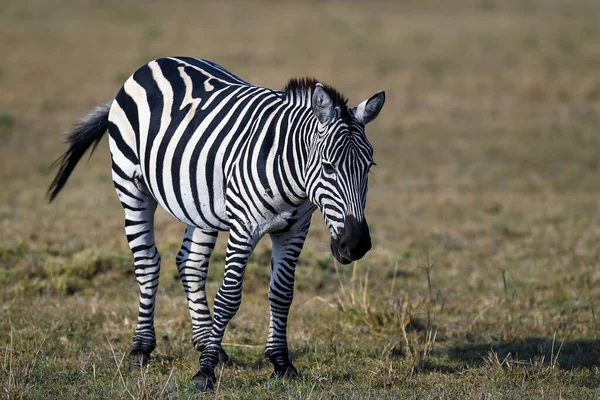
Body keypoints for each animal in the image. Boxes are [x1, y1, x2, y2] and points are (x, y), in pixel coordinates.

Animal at [45, 56, 384, 390]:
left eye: (369, 166)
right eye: (328, 166)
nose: (355, 244)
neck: (291, 176)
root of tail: (155, 62)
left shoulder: (295, 230)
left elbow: (282, 294)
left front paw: (281, 363)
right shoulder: (245, 227)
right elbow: (228, 297)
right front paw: (205, 371)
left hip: (199, 205)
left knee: (190, 264)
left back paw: (208, 343)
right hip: (131, 185)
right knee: (147, 263)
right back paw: (141, 349)